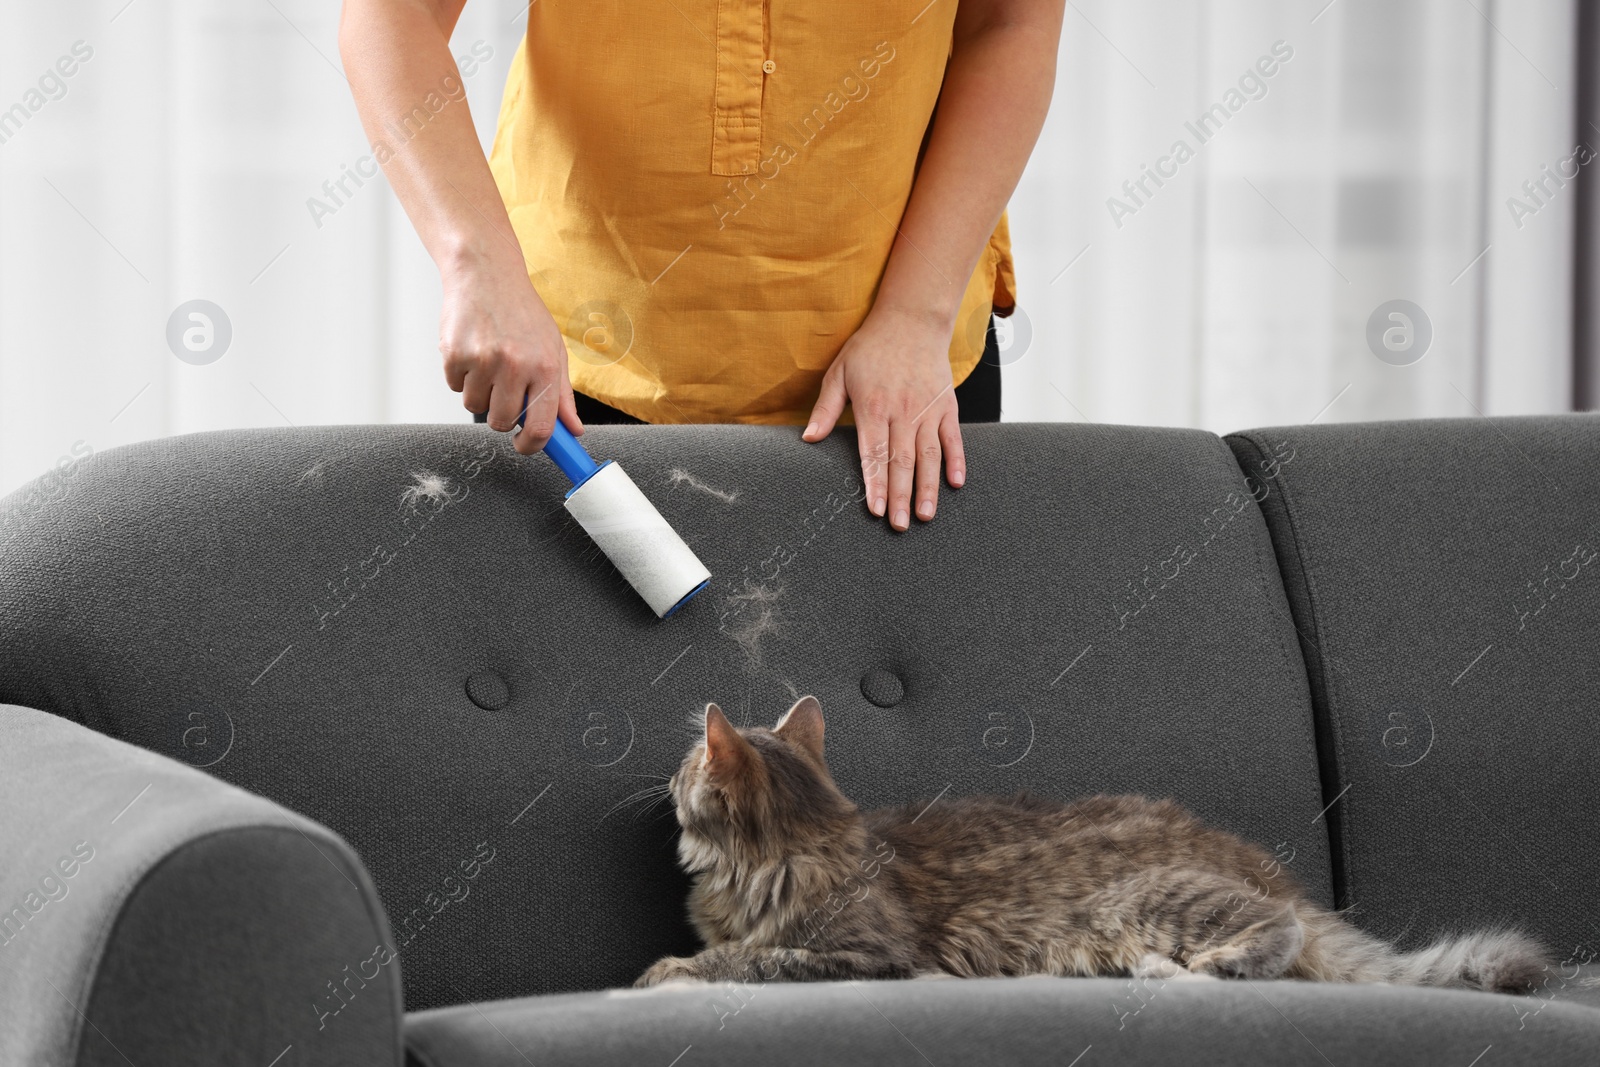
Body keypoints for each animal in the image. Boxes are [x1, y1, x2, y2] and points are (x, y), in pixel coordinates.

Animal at [633, 694, 1548, 991]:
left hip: (1147, 900)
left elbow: (749, 956)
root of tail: (1270, 870)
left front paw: (667, 968)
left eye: (682, 767)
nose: (665, 775)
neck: (802, 842)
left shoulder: (868, 955)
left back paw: (1202, 969)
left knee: (1275, 934)